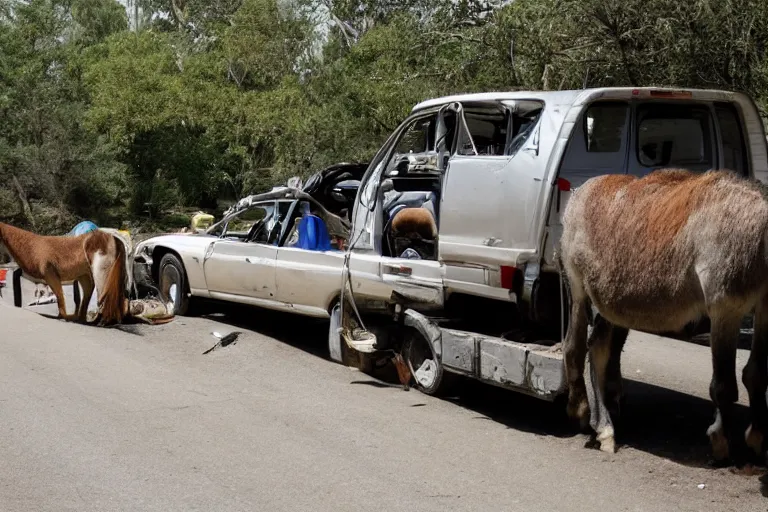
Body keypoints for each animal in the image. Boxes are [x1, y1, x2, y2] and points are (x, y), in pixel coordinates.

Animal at [560, 170, 768, 466]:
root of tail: (585, 189)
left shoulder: (764, 308)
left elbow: (757, 374)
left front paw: (757, 437)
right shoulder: (725, 307)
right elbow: (724, 385)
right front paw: (721, 441)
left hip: (610, 303)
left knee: (598, 348)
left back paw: (605, 428)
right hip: (578, 288)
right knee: (574, 347)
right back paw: (582, 410)